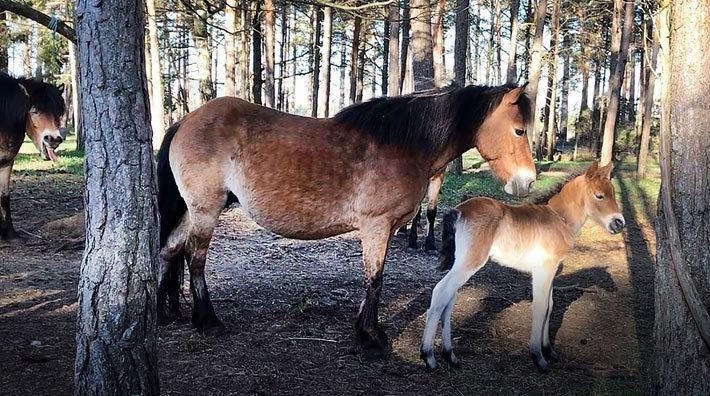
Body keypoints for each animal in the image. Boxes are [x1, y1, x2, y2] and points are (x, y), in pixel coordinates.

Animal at [0, 74, 67, 241]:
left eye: (58, 112)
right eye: (34, 111)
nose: (53, 139)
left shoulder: (7, 162)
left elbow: (4, 196)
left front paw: (10, 233)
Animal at [159, 83, 536, 350]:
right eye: (519, 130)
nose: (528, 181)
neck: (404, 145)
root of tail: (186, 120)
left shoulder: (383, 228)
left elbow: (373, 278)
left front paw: (364, 328)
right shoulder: (376, 225)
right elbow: (375, 279)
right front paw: (371, 336)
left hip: (192, 212)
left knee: (169, 250)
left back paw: (168, 311)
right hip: (206, 210)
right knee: (195, 259)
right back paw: (207, 321)